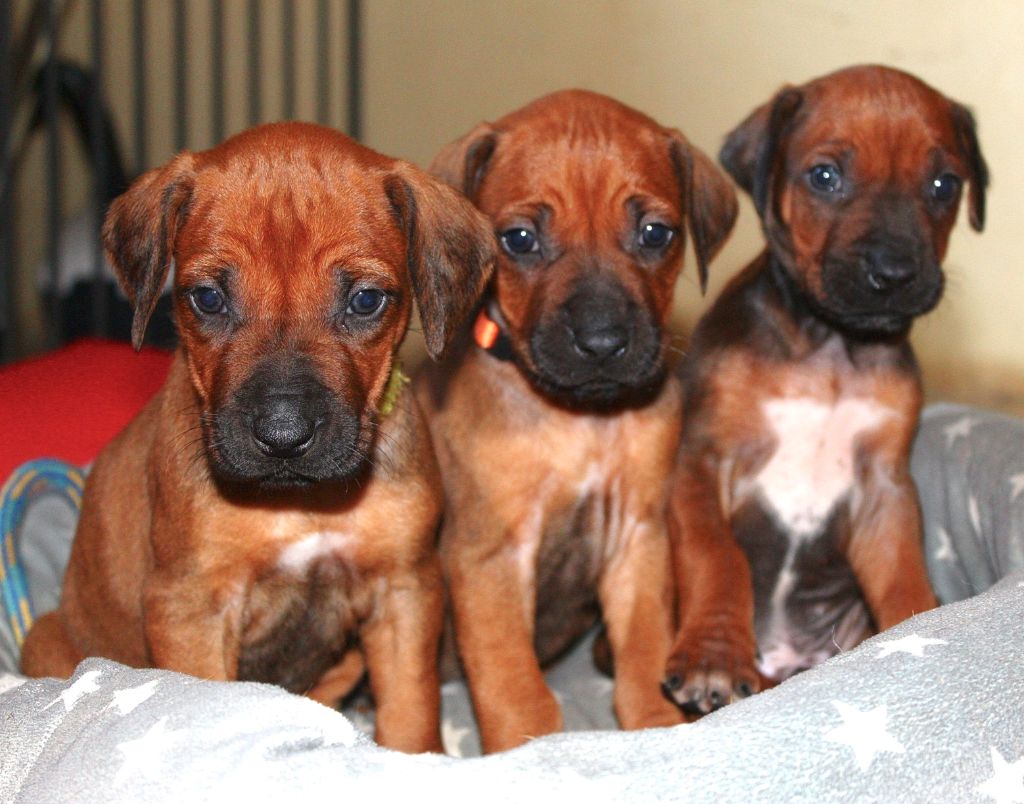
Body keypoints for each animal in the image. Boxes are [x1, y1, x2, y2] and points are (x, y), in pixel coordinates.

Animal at [18, 120, 491, 753]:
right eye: (208, 298)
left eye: (366, 300)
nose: (284, 436)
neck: (301, 504)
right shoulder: (191, 607)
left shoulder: (405, 589)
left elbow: (411, 709)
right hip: (48, 639)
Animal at [415, 91, 737, 749]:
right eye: (518, 239)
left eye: (655, 233)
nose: (602, 342)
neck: (581, 421)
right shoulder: (491, 556)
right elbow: (515, 686)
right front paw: (530, 749)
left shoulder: (637, 537)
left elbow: (645, 651)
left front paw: (656, 725)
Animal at [659, 66, 987, 712]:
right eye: (825, 177)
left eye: (944, 184)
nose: (894, 274)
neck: (831, 346)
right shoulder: (702, 463)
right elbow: (717, 556)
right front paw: (714, 654)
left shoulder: (884, 487)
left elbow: (903, 575)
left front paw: (927, 634)